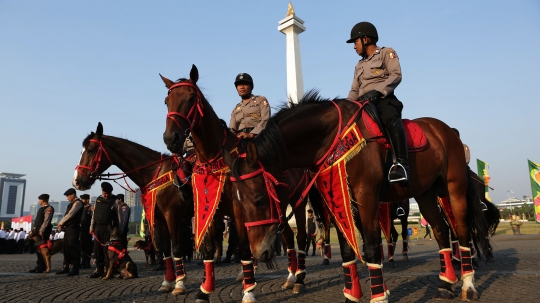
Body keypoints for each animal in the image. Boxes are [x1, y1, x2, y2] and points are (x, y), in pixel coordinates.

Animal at [73, 122, 193, 296]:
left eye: (91, 149)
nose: (76, 181)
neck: (155, 173)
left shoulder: (172, 215)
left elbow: (176, 248)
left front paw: (179, 284)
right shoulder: (159, 218)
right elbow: (165, 249)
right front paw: (166, 283)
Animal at [158, 64, 312, 302]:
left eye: (191, 98)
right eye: (167, 100)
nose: (171, 138)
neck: (214, 158)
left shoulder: (242, 210)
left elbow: (244, 248)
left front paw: (248, 292)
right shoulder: (208, 207)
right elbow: (209, 248)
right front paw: (204, 290)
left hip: (298, 202)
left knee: (301, 237)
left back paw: (299, 279)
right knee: (287, 237)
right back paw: (290, 277)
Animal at [223, 91, 494, 303]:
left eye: (259, 199)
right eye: (237, 202)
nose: (260, 252)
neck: (333, 138)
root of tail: (446, 130)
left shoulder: (367, 197)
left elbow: (372, 248)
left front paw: (379, 296)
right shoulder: (336, 200)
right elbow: (346, 251)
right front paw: (351, 295)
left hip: (454, 189)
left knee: (461, 229)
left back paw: (468, 284)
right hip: (425, 194)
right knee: (440, 231)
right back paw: (446, 283)